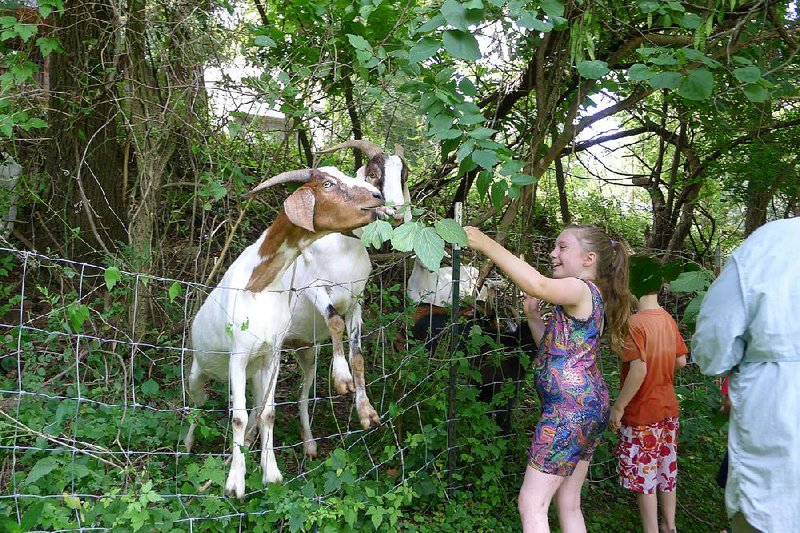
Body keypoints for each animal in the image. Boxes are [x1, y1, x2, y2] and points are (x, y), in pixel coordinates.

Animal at [184, 168, 390, 500]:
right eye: (327, 183)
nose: (378, 196)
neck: (259, 284)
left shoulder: (271, 354)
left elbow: (268, 413)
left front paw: (272, 475)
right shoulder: (238, 355)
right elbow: (237, 416)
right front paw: (235, 484)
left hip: (266, 370)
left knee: (269, 404)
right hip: (198, 371)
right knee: (196, 405)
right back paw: (189, 445)